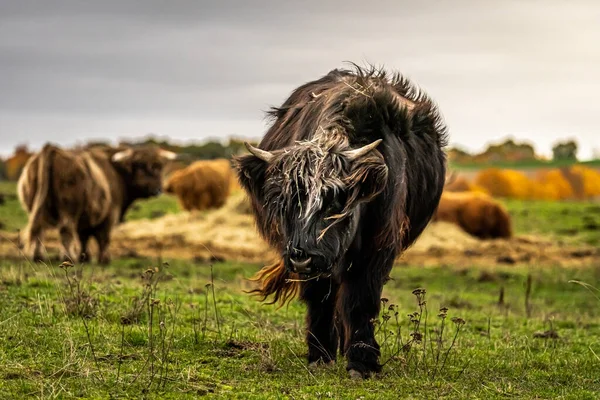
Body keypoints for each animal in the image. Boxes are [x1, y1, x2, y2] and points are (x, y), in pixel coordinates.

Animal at [17, 143, 177, 262]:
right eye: (141, 165)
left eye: (159, 166)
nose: (158, 189)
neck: (118, 173)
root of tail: (52, 149)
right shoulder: (110, 214)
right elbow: (104, 237)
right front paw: (104, 259)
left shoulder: (86, 218)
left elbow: (84, 237)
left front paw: (85, 257)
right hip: (68, 209)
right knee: (65, 229)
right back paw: (68, 257)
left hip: (35, 207)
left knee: (38, 228)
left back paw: (38, 256)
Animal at [232, 65, 448, 378]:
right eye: (284, 202)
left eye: (336, 200)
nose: (301, 258)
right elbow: (320, 298)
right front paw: (320, 355)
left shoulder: (378, 246)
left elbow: (360, 300)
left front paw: (362, 362)